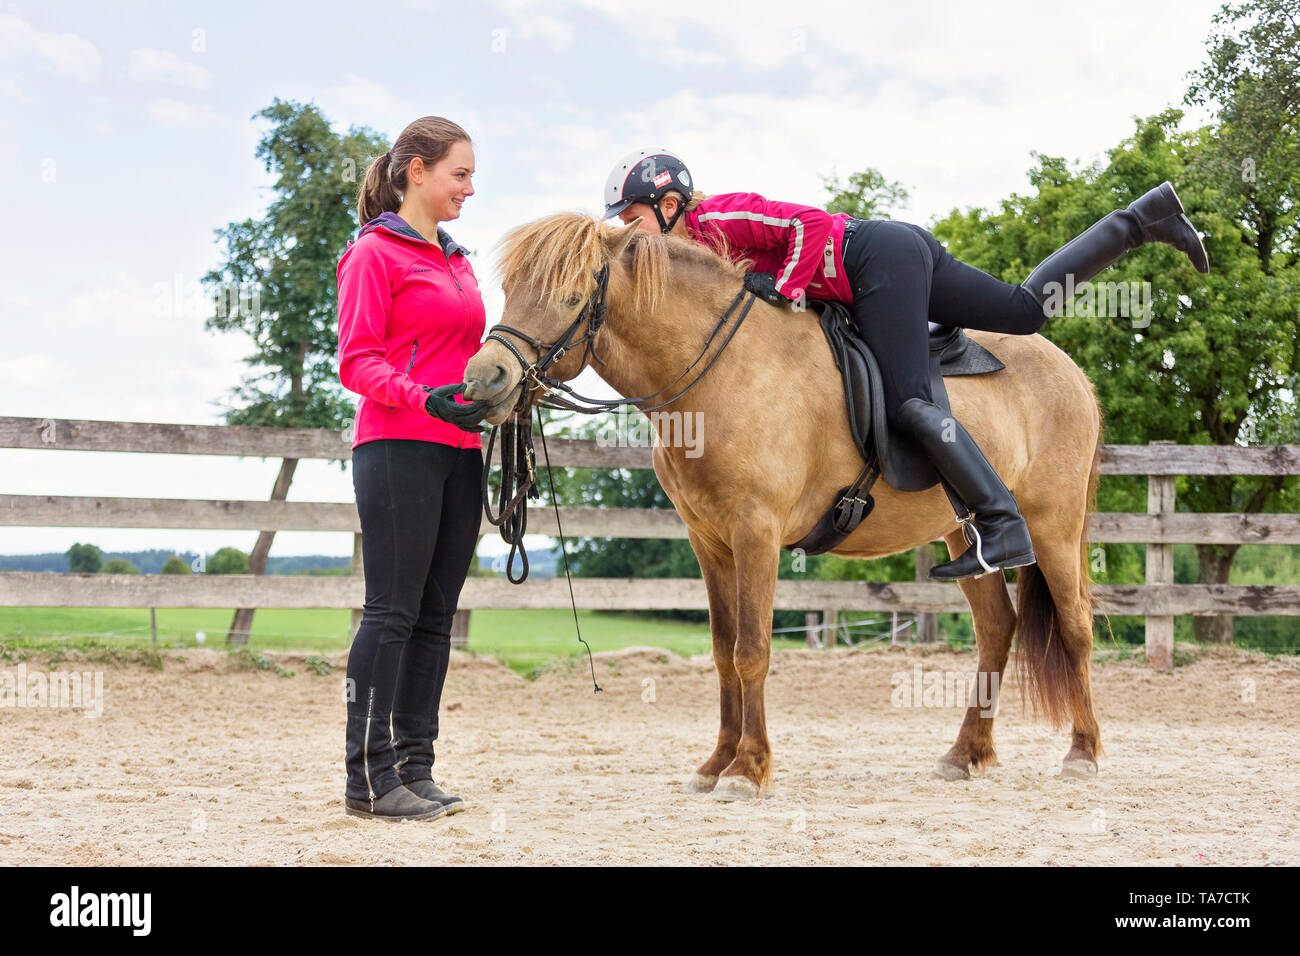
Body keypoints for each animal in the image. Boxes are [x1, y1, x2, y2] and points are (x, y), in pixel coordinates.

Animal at [462, 214, 1102, 801]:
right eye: (510, 288)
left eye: (571, 297)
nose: (485, 379)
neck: (718, 372)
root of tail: (1073, 373)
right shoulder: (709, 542)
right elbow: (723, 654)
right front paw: (717, 762)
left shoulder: (757, 533)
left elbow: (752, 651)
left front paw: (748, 768)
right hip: (961, 533)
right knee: (997, 627)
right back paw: (967, 752)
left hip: (1054, 524)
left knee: (1075, 625)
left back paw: (1083, 751)